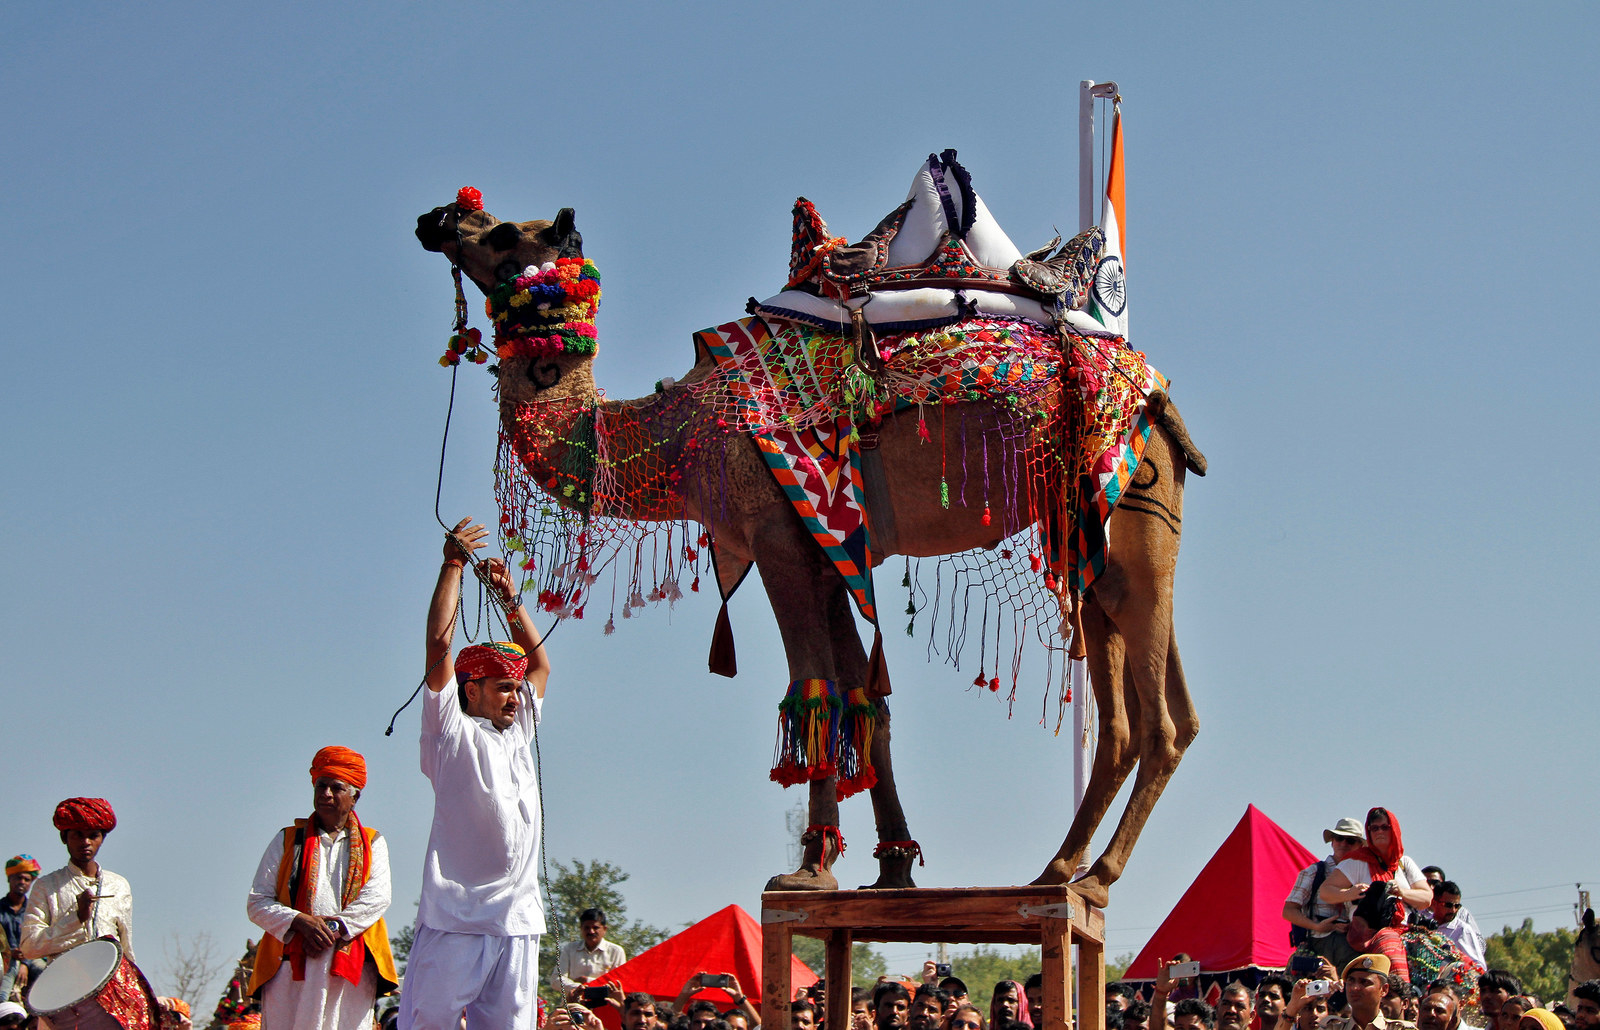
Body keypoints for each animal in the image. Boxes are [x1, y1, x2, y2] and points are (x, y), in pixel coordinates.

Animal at [419, 151, 1203, 902]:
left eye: (503, 234)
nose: (438, 215)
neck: (686, 431)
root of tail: (1157, 397)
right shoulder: (832, 541)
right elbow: (865, 696)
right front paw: (892, 869)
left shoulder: (780, 534)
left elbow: (815, 685)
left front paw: (808, 869)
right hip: (1088, 539)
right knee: (1148, 714)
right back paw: (1057, 870)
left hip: (1129, 514)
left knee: (1159, 721)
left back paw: (1093, 879)